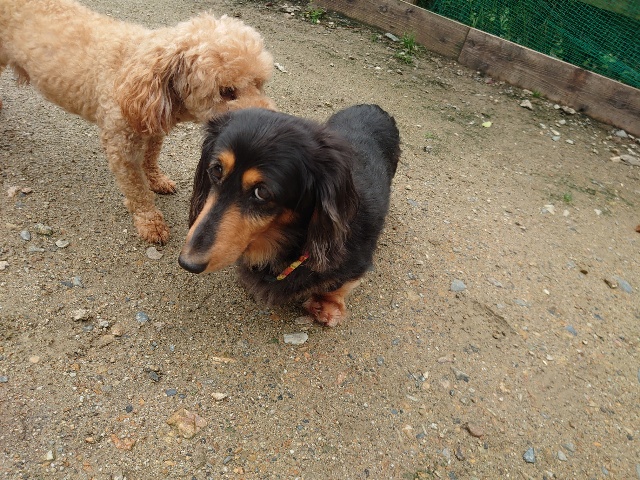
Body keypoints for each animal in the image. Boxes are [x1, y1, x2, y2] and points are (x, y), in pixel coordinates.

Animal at [0, 0, 275, 243]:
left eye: (260, 83)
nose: (266, 127)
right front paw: (150, 222)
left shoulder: (153, 126)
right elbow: (136, 189)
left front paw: (157, 180)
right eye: (227, 91)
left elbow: (151, 157)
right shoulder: (122, 147)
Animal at [178, 105, 400, 327]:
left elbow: (338, 285)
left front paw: (326, 305)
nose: (187, 263)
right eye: (216, 170)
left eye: (262, 192)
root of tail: (373, 106)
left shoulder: (356, 263)